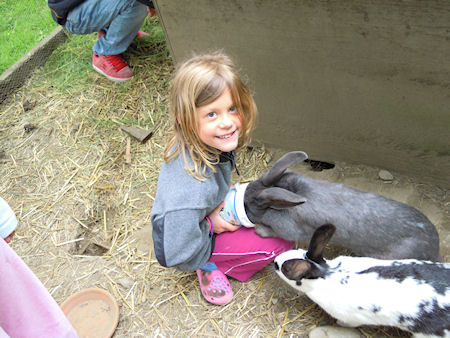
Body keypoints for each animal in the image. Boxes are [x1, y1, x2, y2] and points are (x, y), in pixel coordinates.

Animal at [272, 224, 448, 338]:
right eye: (299, 250)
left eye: (285, 270)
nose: (274, 261)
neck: (328, 274)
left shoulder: (351, 318)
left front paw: (339, 324)